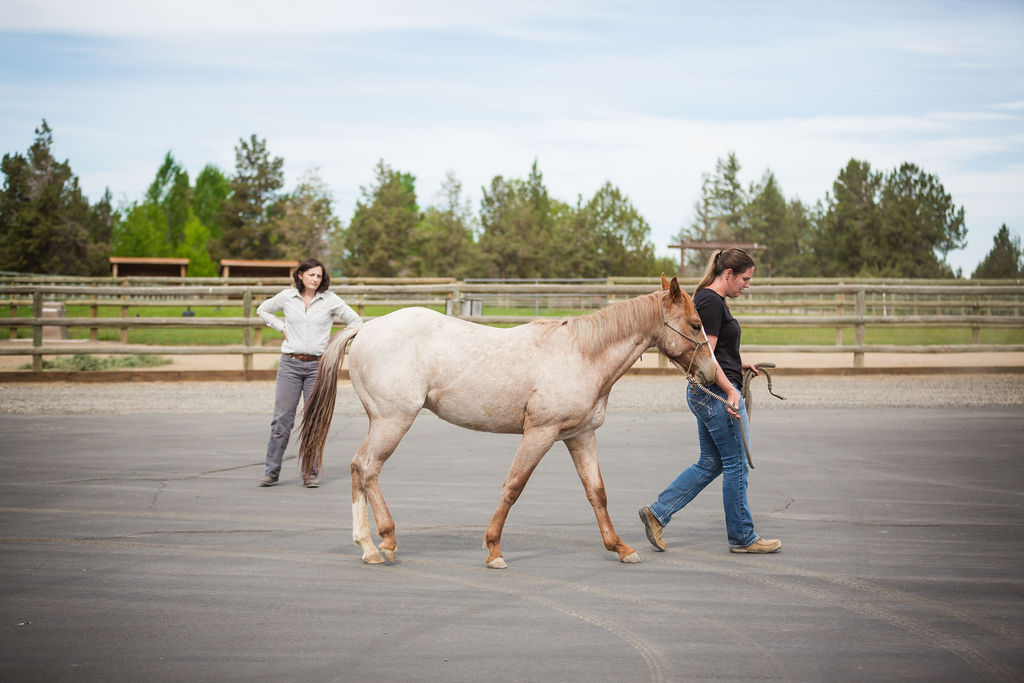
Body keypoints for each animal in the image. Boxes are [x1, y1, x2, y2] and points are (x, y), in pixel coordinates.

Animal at [299, 274, 716, 569]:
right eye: (695, 325)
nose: (712, 375)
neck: (582, 355)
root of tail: (366, 328)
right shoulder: (540, 433)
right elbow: (514, 486)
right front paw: (494, 549)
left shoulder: (580, 436)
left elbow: (596, 492)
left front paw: (620, 547)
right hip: (393, 421)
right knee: (368, 468)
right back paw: (385, 541)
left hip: (383, 422)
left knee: (358, 468)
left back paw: (367, 546)